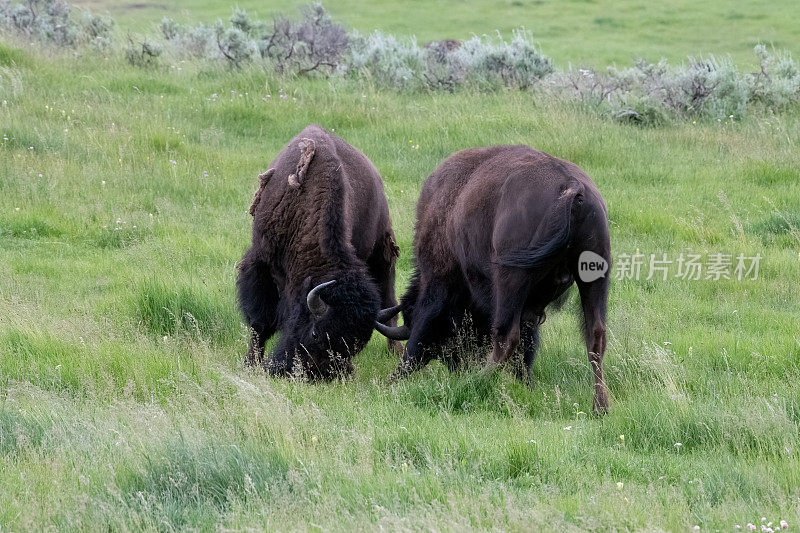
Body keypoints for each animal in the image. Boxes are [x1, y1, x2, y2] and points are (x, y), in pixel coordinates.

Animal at [236, 125, 400, 378]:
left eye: (355, 347)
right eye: (315, 333)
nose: (320, 376)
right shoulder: (261, 263)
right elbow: (259, 322)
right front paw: (251, 363)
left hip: (381, 254)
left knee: (389, 299)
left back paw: (396, 351)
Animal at [376, 144, 612, 412]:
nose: (458, 366)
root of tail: (572, 187)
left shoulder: (438, 280)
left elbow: (422, 331)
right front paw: (527, 385)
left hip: (511, 278)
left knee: (506, 336)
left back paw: (476, 383)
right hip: (594, 276)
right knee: (595, 337)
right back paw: (600, 407)